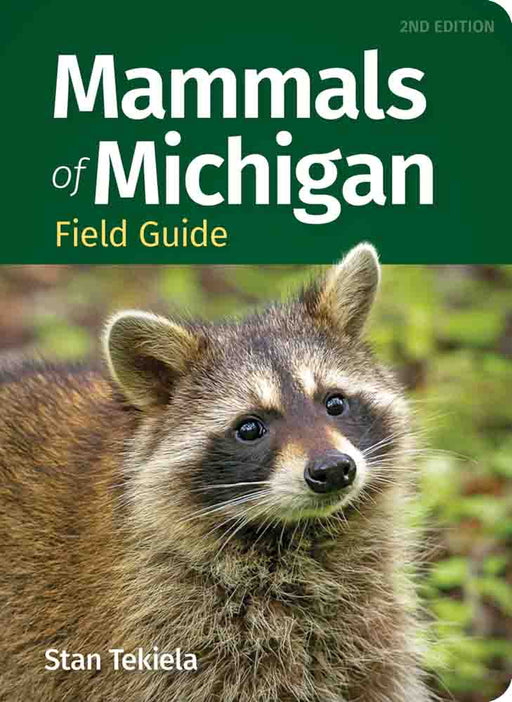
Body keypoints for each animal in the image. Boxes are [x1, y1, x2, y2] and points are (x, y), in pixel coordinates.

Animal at [0, 244, 431, 702]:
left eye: (335, 403)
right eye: (249, 428)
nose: (333, 470)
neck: (297, 535)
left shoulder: (366, 628)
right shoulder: (168, 633)